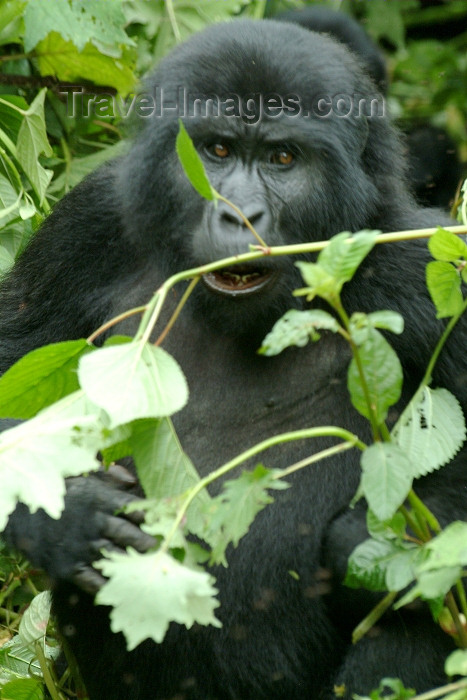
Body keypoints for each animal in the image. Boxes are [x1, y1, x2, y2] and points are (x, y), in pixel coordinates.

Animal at [0, 16, 467, 700]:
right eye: (217, 151)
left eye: (282, 158)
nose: (239, 214)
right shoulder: (86, 226)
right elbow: (12, 376)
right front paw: (68, 516)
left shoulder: (423, 262)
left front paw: (371, 542)